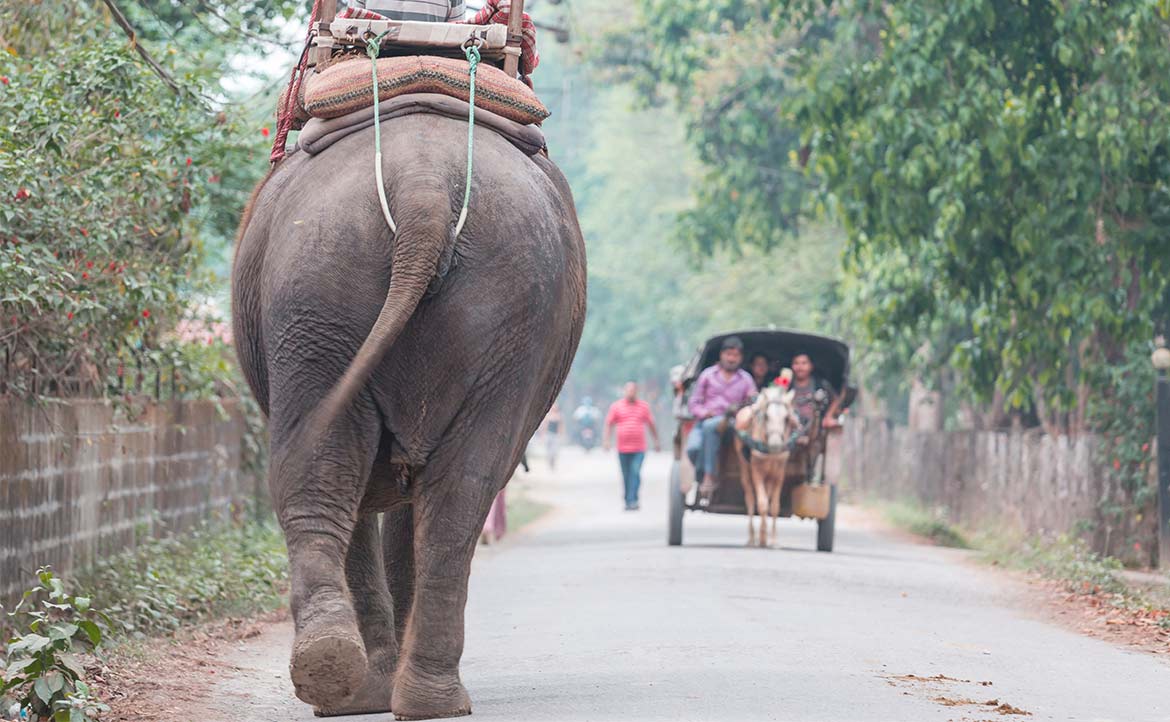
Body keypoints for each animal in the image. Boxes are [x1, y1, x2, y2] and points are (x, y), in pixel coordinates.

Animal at [231, 113, 586, 719]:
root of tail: (424, 190)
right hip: (464, 300)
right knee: (454, 487)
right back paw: (389, 687)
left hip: (322, 291)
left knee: (341, 468)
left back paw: (356, 683)